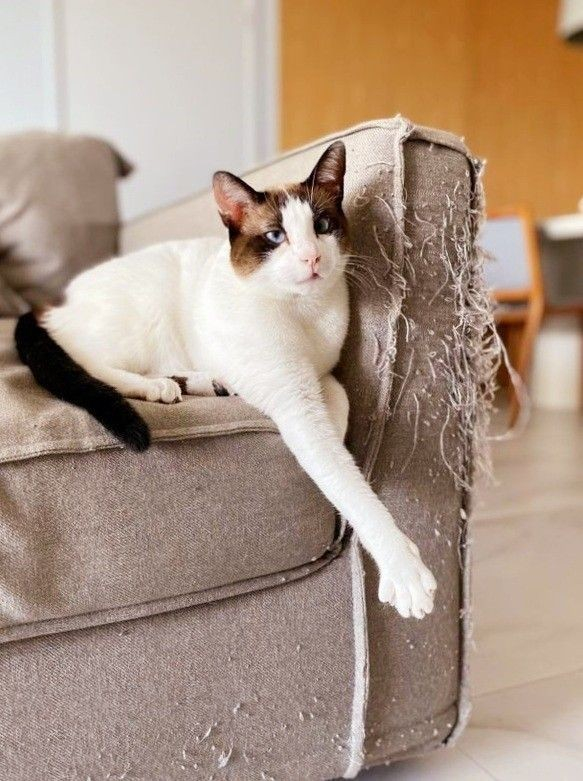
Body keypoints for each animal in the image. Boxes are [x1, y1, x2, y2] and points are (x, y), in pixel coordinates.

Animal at [16, 139, 438, 616]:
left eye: (322, 226)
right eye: (275, 236)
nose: (311, 257)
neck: (305, 314)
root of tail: (51, 301)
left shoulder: (321, 376)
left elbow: (341, 415)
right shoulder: (295, 400)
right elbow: (343, 477)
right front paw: (404, 570)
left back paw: (205, 381)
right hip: (138, 318)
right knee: (86, 360)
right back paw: (156, 387)